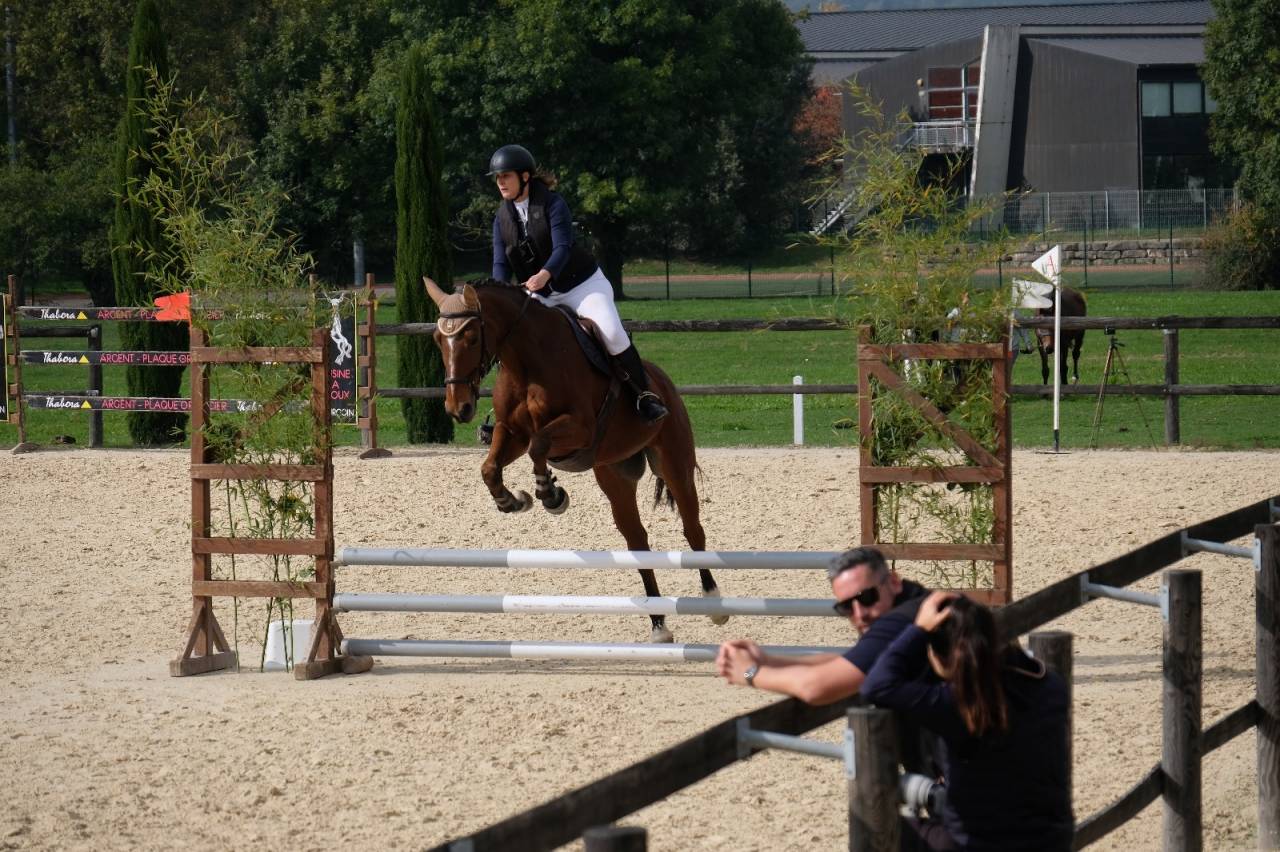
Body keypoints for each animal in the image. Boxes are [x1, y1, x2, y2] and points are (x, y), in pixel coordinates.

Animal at [422, 276, 725, 644]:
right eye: (438, 339)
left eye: (472, 337)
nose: (459, 408)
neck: (525, 361)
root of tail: (663, 381)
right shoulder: (511, 432)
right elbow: (490, 467)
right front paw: (512, 501)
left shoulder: (580, 428)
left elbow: (539, 445)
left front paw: (551, 494)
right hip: (613, 475)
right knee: (637, 540)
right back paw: (658, 625)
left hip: (675, 463)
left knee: (692, 529)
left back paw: (713, 603)